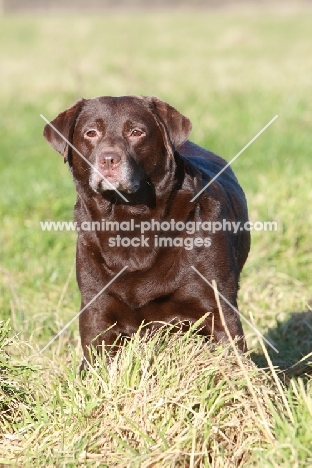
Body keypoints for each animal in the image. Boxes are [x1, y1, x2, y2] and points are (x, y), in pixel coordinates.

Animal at [42, 96, 250, 366]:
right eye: (91, 133)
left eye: (136, 132)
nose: (108, 159)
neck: (131, 220)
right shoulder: (96, 311)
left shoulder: (218, 308)